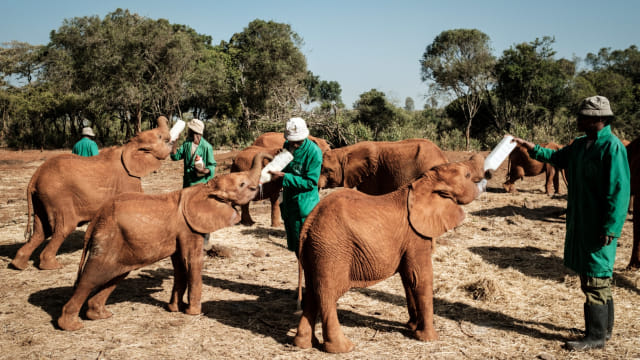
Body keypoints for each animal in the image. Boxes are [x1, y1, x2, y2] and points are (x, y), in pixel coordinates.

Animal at [12, 116, 172, 270]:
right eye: (159, 136)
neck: (130, 146)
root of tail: (34, 177)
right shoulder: (128, 180)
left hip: (42, 198)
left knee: (41, 230)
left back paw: (18, 265)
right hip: (56, 196)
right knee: (64, 226)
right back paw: (53, 266)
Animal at [55, 152, 272, 332]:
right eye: (242, 185)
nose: (272, 158)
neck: (205, 189)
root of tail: (95, 220)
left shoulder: (180, 232)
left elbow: (180, 266)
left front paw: (175, 309)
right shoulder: (190, 229)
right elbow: (192, 262)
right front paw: (193, 312)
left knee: (115, 276)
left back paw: (101, 315)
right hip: (108, 239)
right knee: (91, 277)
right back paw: (72, 326)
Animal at [294, 154, 484, 352]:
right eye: (467, 175)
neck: (423, 182)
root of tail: (309, 223)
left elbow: (408, 278)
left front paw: (412, 327)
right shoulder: (416, 235)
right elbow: (420, 277)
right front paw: (429, 338)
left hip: (316, 250)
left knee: (312, 292)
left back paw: (304, 344)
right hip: (331, 250)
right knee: (327, 294)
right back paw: (343, 348)